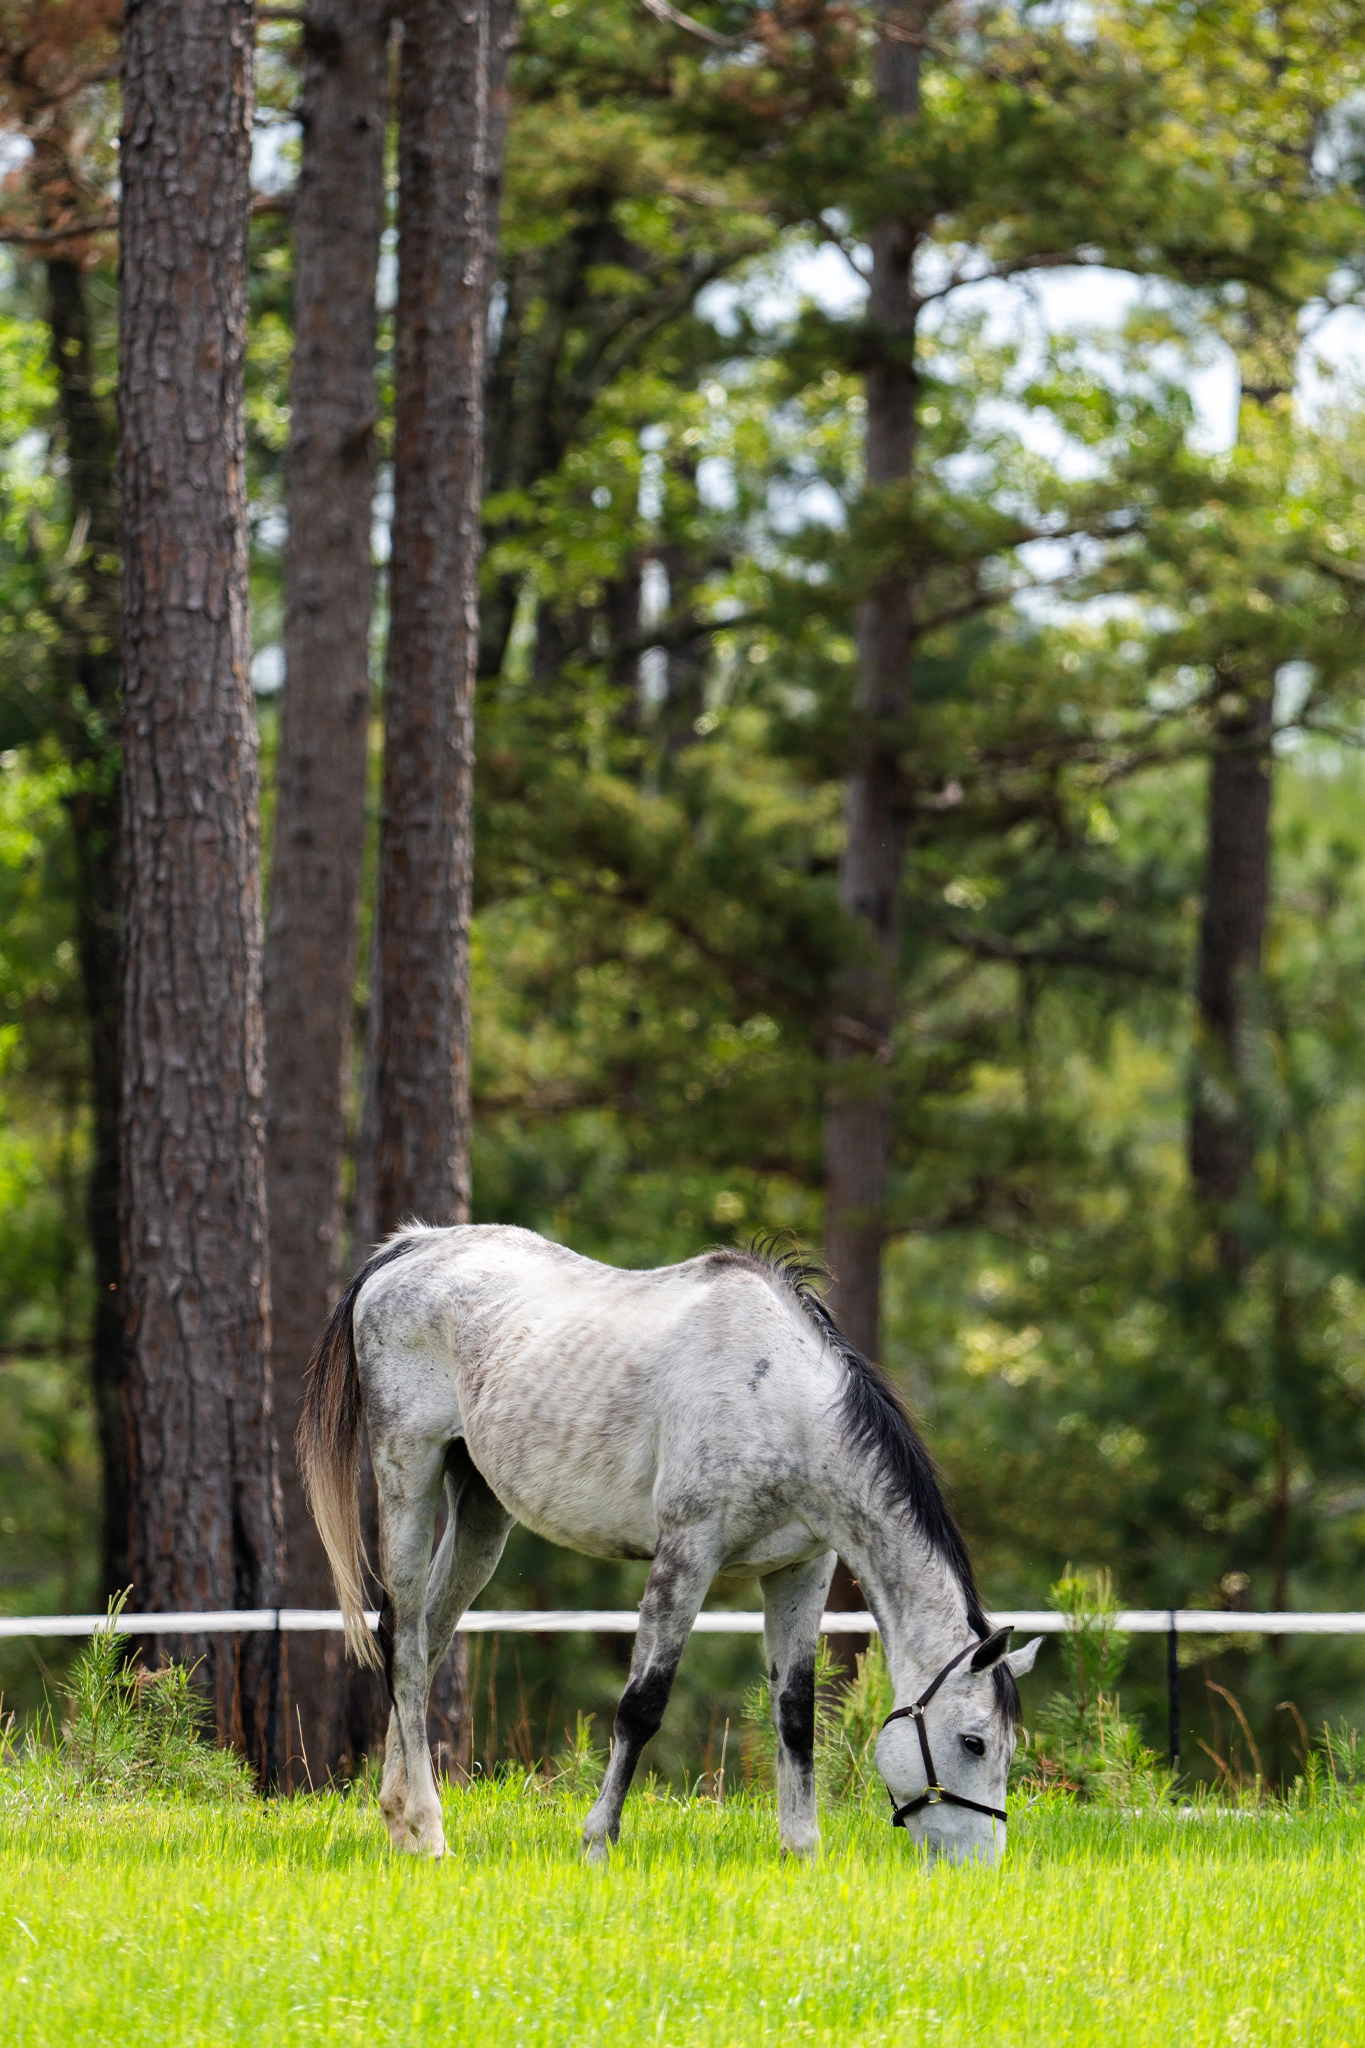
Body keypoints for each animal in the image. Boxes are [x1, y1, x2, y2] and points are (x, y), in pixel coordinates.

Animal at [298, 1223, 1040, 1863]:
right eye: (973, 1743)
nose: (981, 1867)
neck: (781, 1401)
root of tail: (414, 1245)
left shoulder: (802, 1568)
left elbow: (795, 1713)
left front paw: (801, 1851)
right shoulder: (688, 1553)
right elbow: (641, 1706)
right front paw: (598, 1843)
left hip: (481, 1510)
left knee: (425, 1638)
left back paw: (398, 1820)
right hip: (408, 1474)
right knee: (402, 1644)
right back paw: (428, 1832)